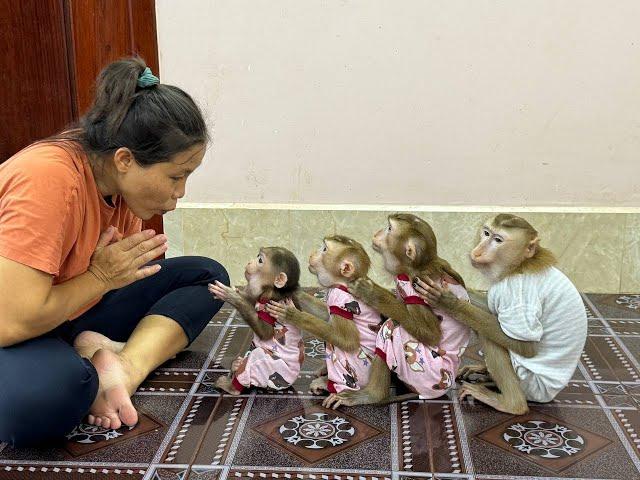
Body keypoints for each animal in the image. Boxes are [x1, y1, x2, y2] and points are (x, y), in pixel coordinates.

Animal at [208, 248, 302, 394]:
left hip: (281, 375)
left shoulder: (272, 302)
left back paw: (233, 386)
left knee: (259, 356)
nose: (250, 262)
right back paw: (236, 365)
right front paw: (238, 294)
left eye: (260, 260)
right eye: (258, 257)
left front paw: (233, 297)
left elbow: (267, 333)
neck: (271, 290)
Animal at [266, 234, 384, 400]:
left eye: (324, 249)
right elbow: (325, 313)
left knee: (335, 344)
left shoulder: (340, 299)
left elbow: (348, 340)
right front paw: (294, 290)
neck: (343, 283)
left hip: (360, 370)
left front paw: (293, 315)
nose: (312, 254)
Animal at [318, 214, 472, 408]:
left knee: (391, 328)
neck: (420, 265)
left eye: (390, 229)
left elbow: (430, 334)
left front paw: (371, 294)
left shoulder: (414, 283)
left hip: (428, 376)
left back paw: (372, 395)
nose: (377, 233)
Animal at [412, 212, 588, 414]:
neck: (520, 265)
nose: (478, 251)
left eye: (498, 240)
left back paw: (511, 403)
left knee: (492, 337)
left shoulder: (517, 295)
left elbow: (525, 346)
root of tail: (550, 394)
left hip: (528, 383)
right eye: (486, 233)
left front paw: (448, 302)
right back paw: (485, 374)